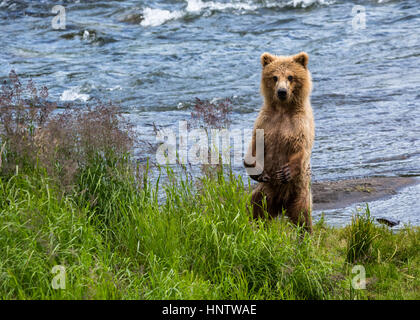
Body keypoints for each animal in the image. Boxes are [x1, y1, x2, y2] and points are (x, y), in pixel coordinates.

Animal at [243, 52, 316, 232]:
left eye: (290, 76)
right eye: (274, 77)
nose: (282, 92)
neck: (283, 110)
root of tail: (281, 204)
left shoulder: (300, 124)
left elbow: (301, 148)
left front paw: (285, 172)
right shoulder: (265, 121)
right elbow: (255, 144)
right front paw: (256, 170)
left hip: (300, 192)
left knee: (302, 216)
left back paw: (306, 235)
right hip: (264, 192)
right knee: (256, 207)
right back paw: (256, 226)